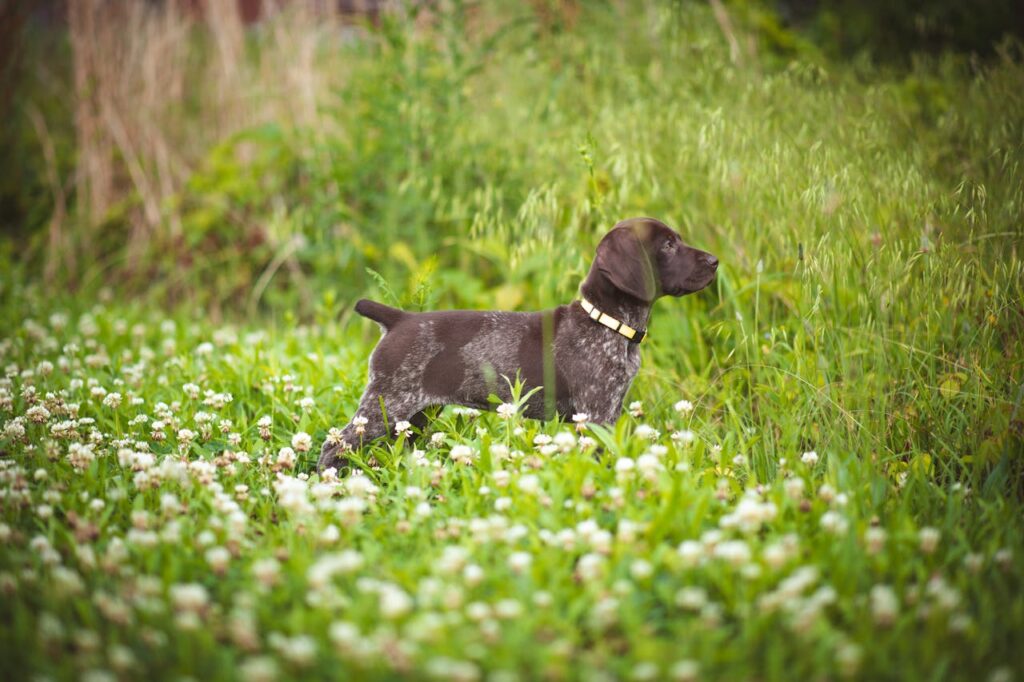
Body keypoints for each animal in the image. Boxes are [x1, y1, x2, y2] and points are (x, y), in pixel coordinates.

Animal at [315, 215, 716, 471]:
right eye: (668, 244)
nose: (715, 260)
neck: (607, 321)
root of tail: (399, 319)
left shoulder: (611, 410)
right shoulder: (596, 413)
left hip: (415, 416)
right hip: (386, 406)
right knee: (332, 445)